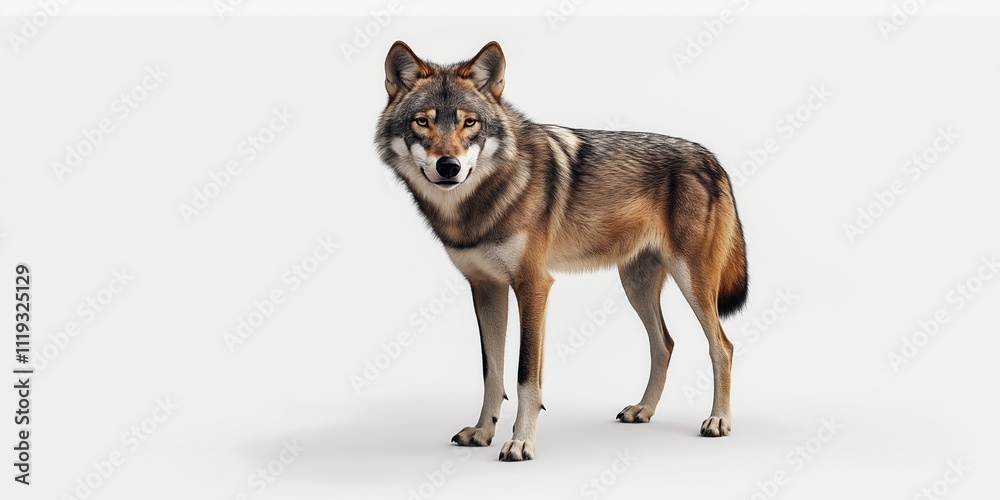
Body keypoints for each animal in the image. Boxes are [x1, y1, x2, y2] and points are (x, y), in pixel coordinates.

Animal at [375, 41, 749, 461]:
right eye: (422, 122)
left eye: (469, 123)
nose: (448, 166)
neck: (480, 204)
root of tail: (712, 159)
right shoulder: (486, 288)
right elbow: (492, 372)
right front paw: (483, 432)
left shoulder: (534, 285)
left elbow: (524, 375)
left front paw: (521, 442)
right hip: (636, 286)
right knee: (664, 344)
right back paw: (643, 410)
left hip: (692, 283)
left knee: (722, 346)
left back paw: (718, 421)